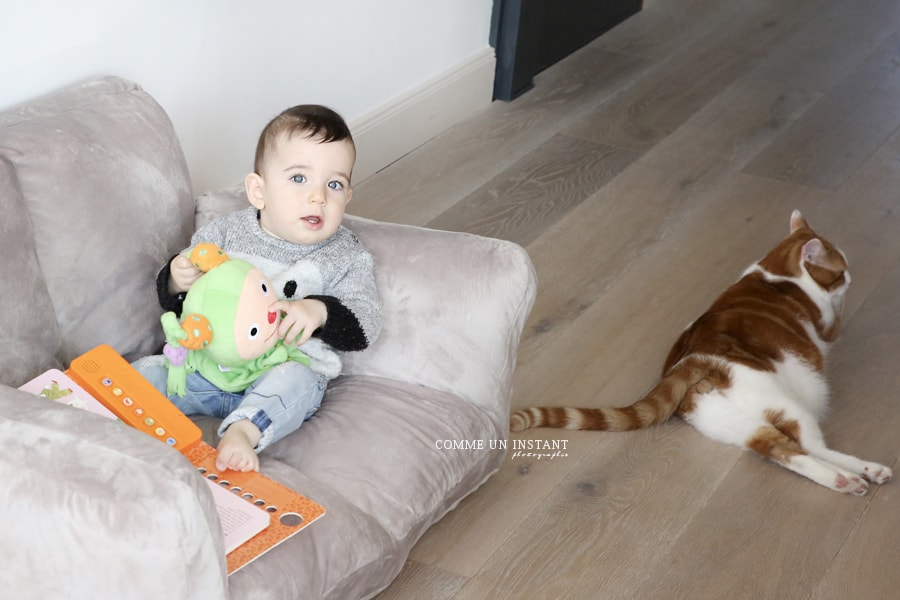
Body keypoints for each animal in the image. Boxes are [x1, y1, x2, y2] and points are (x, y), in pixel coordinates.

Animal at [512, 211, 892, 496]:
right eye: (840, 271)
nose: (851, 278)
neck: (773, 273)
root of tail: (694, 360)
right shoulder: (826, 324)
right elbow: (833, 320)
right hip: (786, 403)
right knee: (811, 446)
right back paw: (862, 472)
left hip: (734, 422)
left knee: (782, 450)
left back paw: (844, 480)